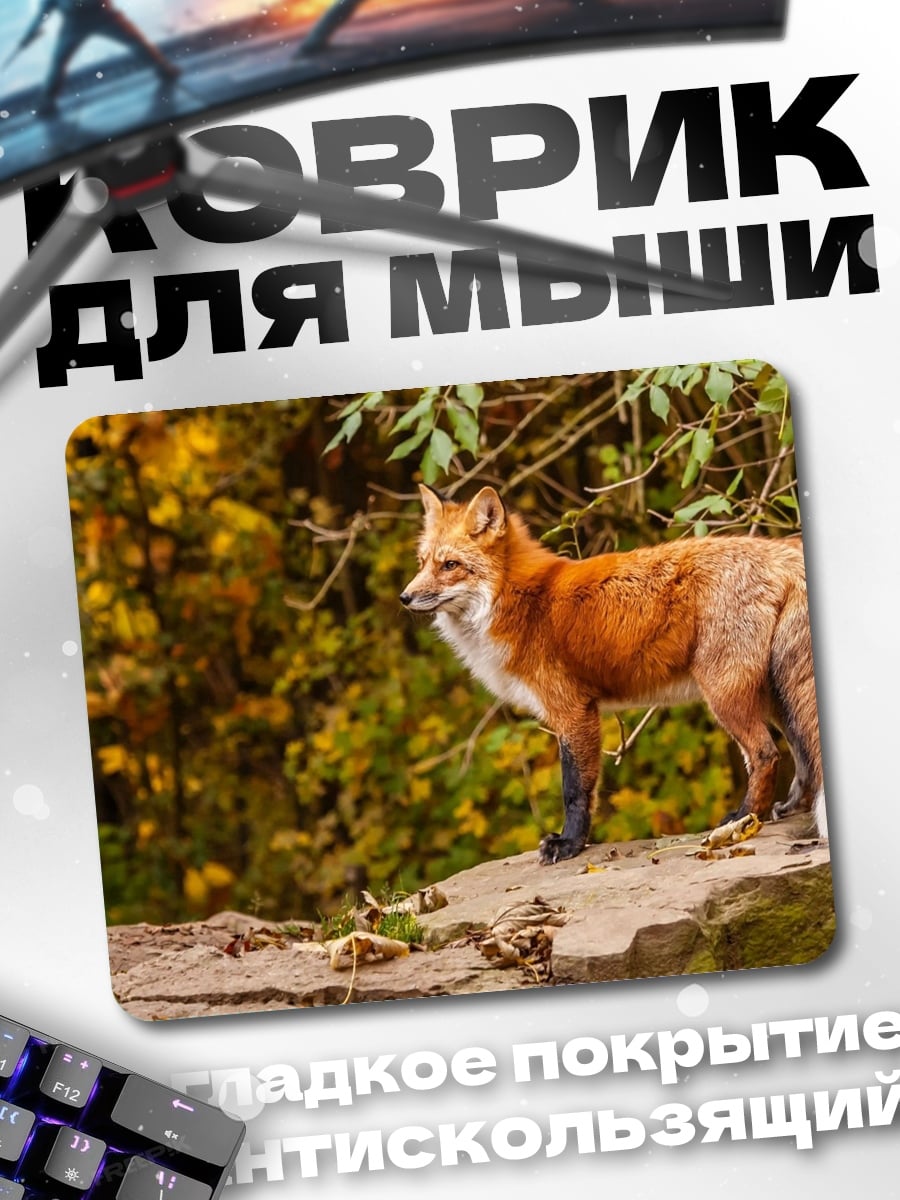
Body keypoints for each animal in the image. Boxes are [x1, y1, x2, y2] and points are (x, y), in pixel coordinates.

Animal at [400, 484, 825, 864]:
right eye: (422, 562)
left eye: (450, 565)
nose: (404, 597)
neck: (517, 600)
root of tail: (782, 551)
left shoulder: (573, 711)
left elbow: (575, 789)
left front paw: (569, 844)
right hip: (776, 694)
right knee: (803, 757)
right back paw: (786, 808)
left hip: (725, 693)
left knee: (766, 753)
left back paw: (742, 820)